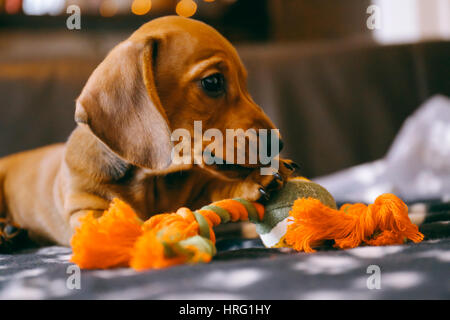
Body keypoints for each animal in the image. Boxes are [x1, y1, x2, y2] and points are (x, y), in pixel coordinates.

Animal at [0, 16, 296, 246]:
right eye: (212, 82)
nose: (279, 143)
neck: (151, 179)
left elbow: (213, 186)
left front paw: (253, 181)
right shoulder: (88, 212)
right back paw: (8, 232)